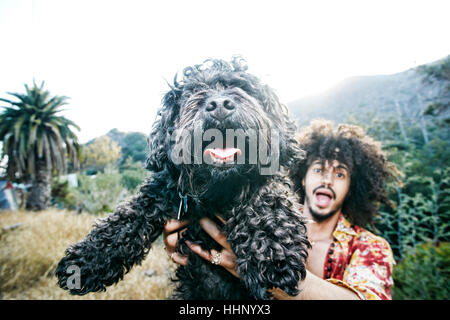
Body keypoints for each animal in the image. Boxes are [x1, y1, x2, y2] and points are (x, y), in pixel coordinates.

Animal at [55, 57, 310, 300]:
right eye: (194, 90)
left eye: (242, 86)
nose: (219, 105)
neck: (217, 190)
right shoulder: (163, 189)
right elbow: (127, 217)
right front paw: (86, 260)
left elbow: (265, 199)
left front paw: (272, 251)